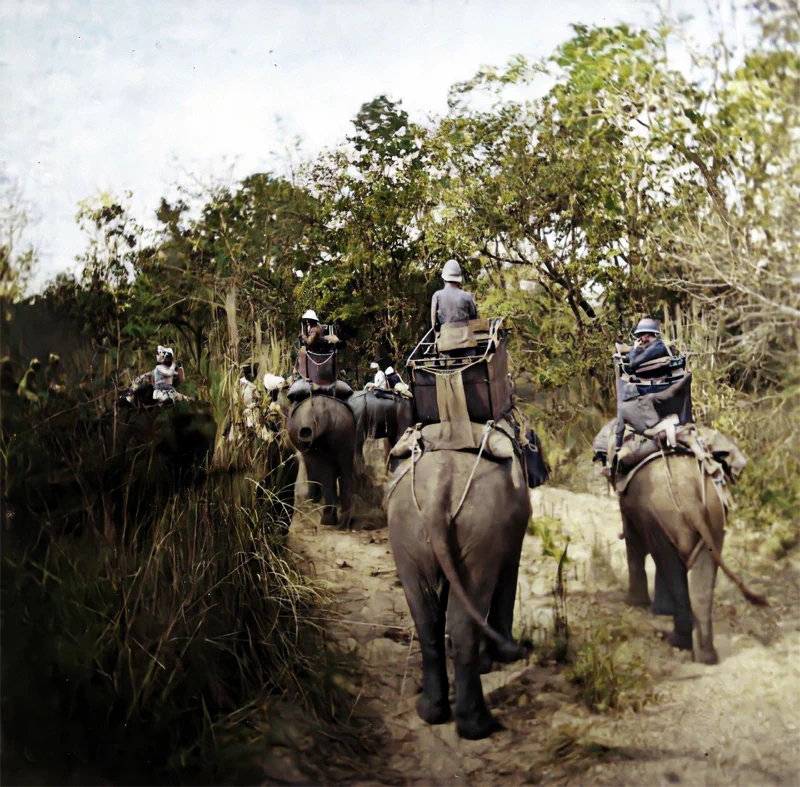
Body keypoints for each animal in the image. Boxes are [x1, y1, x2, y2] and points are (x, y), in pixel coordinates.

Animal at [284, 394, 354, 528]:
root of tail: (323, 411)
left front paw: (311, 499)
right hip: (344, 431)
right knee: (346, 470)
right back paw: (344, 522)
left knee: (325, 474)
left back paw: (327, 521)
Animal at [386, 446, 536, 740]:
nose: (526, 648)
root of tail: (438, 492)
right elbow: (507, 578)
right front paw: (505, 656)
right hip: (480, 531)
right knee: (464, 620)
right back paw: (477, 727)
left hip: (407, 530)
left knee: (426, 618)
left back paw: (430, 712)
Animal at [620, 450, 768, 664]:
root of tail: (691, 500)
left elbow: (634, 542)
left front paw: (636, 605)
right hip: (714, 517)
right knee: (701, 584)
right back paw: (707, 657)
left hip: (661, 513)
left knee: (671, 567)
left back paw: (677, 642)